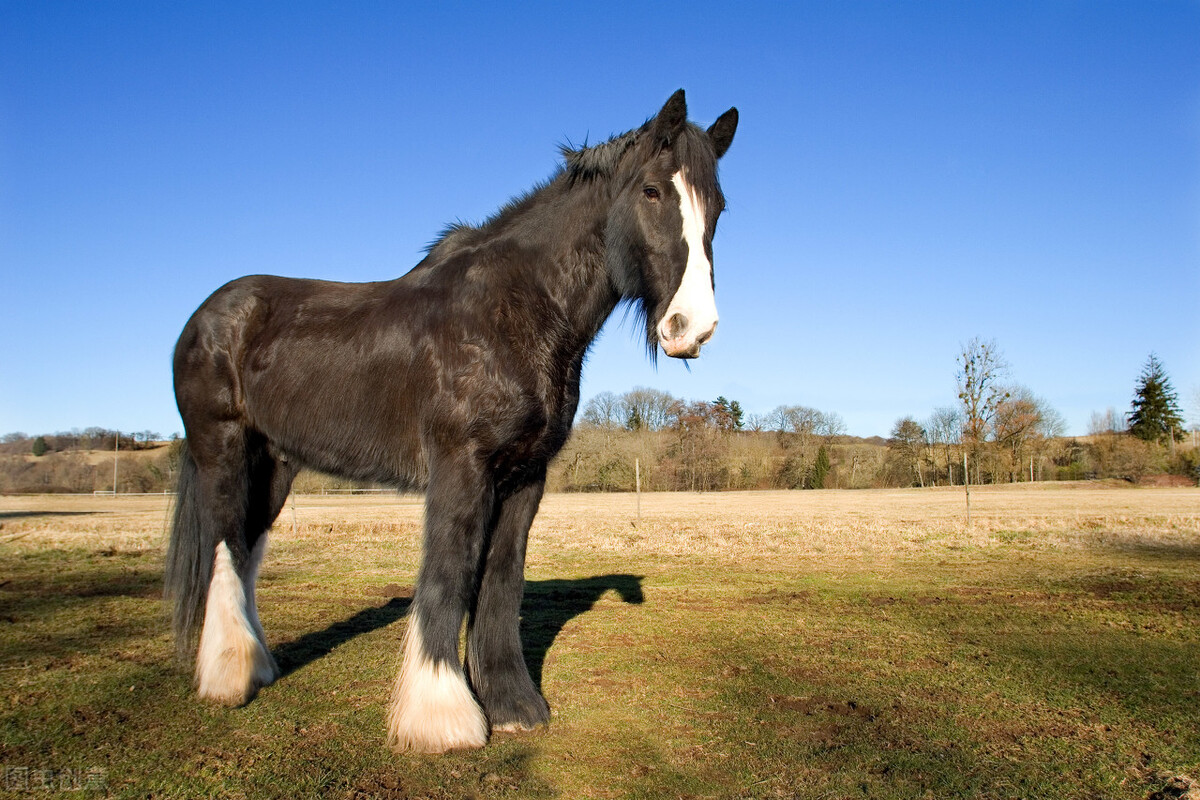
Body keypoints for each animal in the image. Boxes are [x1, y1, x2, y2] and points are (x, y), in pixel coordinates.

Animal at [164, 90, 734, 753]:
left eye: (718, 206)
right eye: (651, 191)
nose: (692, 328)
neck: (514, 311)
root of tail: (206, 317)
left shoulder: (525, 475)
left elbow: (501, 581)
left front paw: (513, 706)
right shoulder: (461, 467)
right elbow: (449, 571)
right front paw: (442, 718)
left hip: (275, 463)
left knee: (249, 547)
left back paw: (257, 667)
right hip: (222, 448)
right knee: (226, 546)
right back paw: (228, 679)